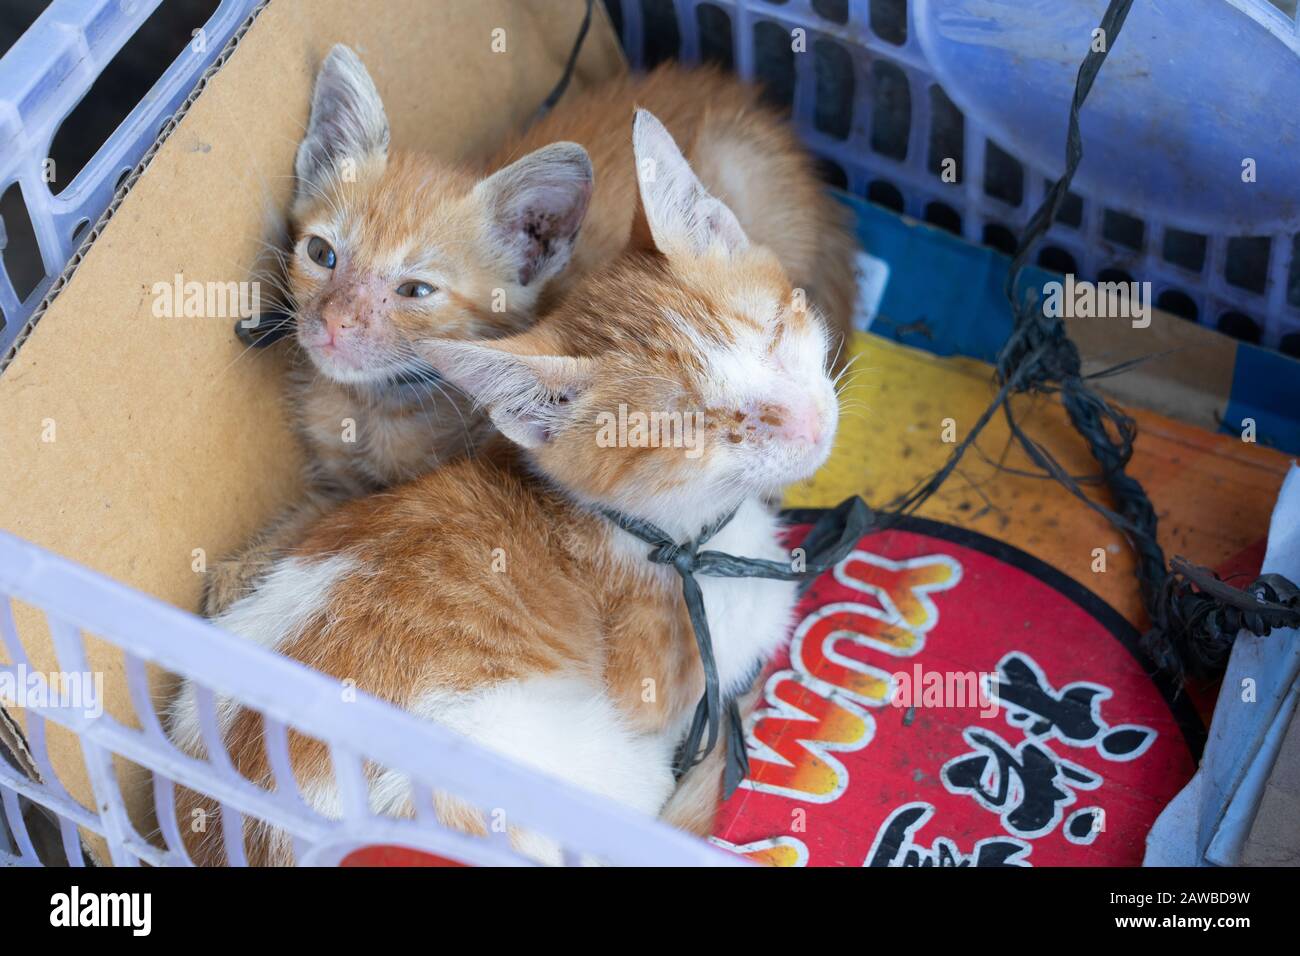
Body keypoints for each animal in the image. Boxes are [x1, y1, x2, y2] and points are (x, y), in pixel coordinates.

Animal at [202, 50, 857, 621]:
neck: (374, 405)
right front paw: (249, 563)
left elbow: (340, 514)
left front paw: (249, 566)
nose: (335, 324)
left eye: (415, 291)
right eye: (322, 254)